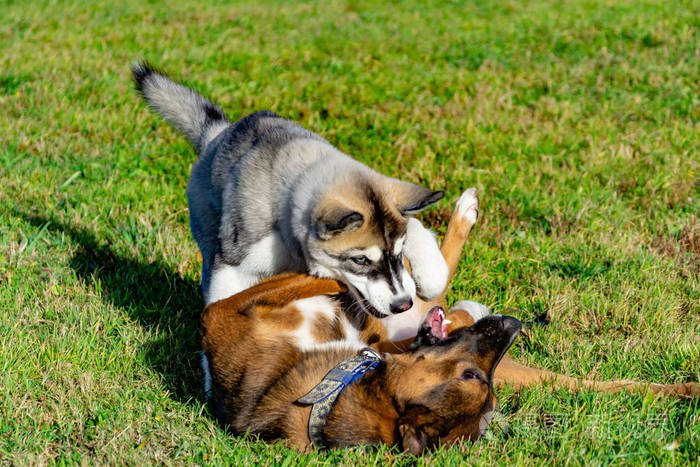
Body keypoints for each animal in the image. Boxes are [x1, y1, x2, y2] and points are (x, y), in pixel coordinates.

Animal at [132, 61, 448, 314]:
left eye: (398, 253)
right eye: (359, 259)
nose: (403, 305)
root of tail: (218, 134)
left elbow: (416, 227)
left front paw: (433, 275)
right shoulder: (232, 266)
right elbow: (224, 300)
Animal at [200, 189, 696, 454]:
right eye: (475, 378)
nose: (512, 326)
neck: (328, 390)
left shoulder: (228, 310)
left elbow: (323, 272)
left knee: (436, 286)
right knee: (435, 291)